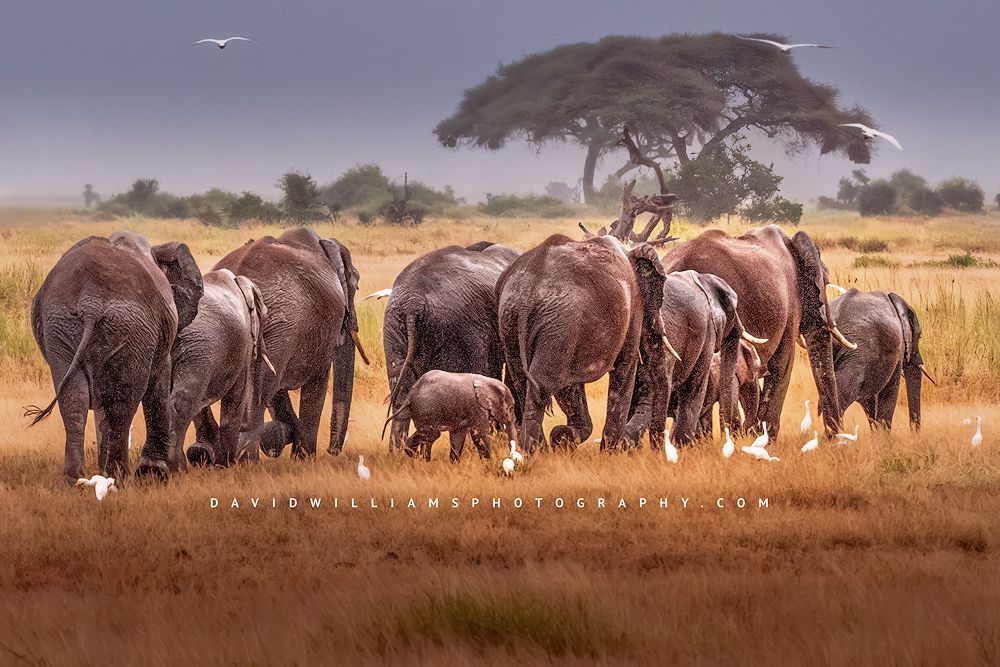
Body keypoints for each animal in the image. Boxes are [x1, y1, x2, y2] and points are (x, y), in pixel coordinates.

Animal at [27, 232, 203, 481]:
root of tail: (90, 302)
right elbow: (158, 383)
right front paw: (156, 474)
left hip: (61, 324)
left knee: (74, 398)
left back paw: (76, 478)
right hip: (132, 327)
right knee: (124, 399)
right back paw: (120, 476)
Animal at [168, 269, 269, 469]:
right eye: (266, 315)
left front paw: (205, 455)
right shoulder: (243, 348)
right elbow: (236, 399)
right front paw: (226, 464)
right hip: (200, 347)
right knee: (184, 401)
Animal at [213, 227, 367, 460]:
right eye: (356, 284)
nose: (332, 451)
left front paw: (283, 438)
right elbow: (317, 383)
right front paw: (303, 457)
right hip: (280, 324)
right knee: (262, 392)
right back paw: (249, 461)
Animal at [383, 370, 517, 462]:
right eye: (511, 409)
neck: (487, 382)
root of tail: (411, 393)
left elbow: (457, 438)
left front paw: (455, 464)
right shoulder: (476, 408)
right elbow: (480, 434)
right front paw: (489, 462)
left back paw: (417, 460)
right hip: (427, 408)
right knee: (432, 434)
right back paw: (413, 458)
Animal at [497, 235, 669, 452]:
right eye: (659, 290)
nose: (658, 451)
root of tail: (527, 294)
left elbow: (570, 388)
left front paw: (563, 438)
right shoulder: (633, 309)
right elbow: (625, 368)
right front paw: (609, 453)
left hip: (511, 320)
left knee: (523, 381)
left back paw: (540, 449)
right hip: (560, 322)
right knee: (541, 385)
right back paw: (534, 452)